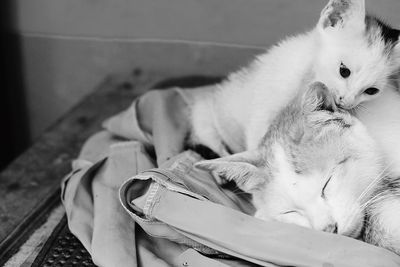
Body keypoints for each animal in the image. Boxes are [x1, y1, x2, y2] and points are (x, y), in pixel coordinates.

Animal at [187, 0, 400, 178]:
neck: (307, 77)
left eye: (371, 91)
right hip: (206, 115)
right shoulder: (266, 100)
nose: (346, 101)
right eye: (344, 71)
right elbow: (258, 140)